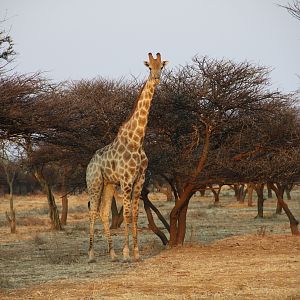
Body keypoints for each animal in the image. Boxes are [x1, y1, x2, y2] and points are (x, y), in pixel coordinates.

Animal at [86, 52, 169, 262]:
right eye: (149, 67)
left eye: (161, 67)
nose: (156, 78)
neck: (137, 139)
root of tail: (89, 163)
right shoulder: (126, 180)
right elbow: (127, 215)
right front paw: (126, 253)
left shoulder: (139, 179)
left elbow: (135, 213)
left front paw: (136, 253)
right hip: (94, 183)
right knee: (92, 211)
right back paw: (91, 254)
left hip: (108, 184)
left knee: (104, 212)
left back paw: (112, 254)